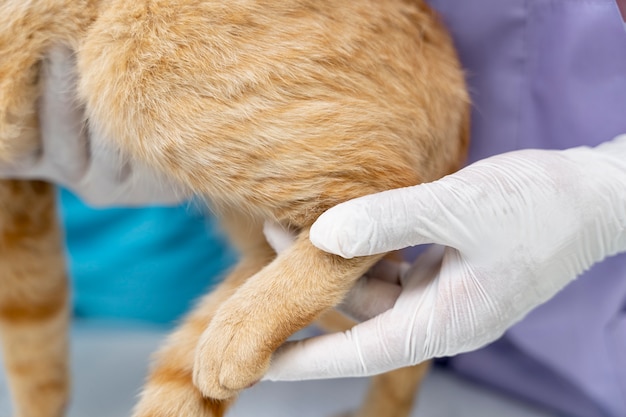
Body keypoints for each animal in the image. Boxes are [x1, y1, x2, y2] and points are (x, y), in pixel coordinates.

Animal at [0, 1, 468, 414]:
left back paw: (241, 329)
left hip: (138, 71)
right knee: (409, 338)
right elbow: (33, 340)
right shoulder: (19, 201)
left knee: (378, 197)